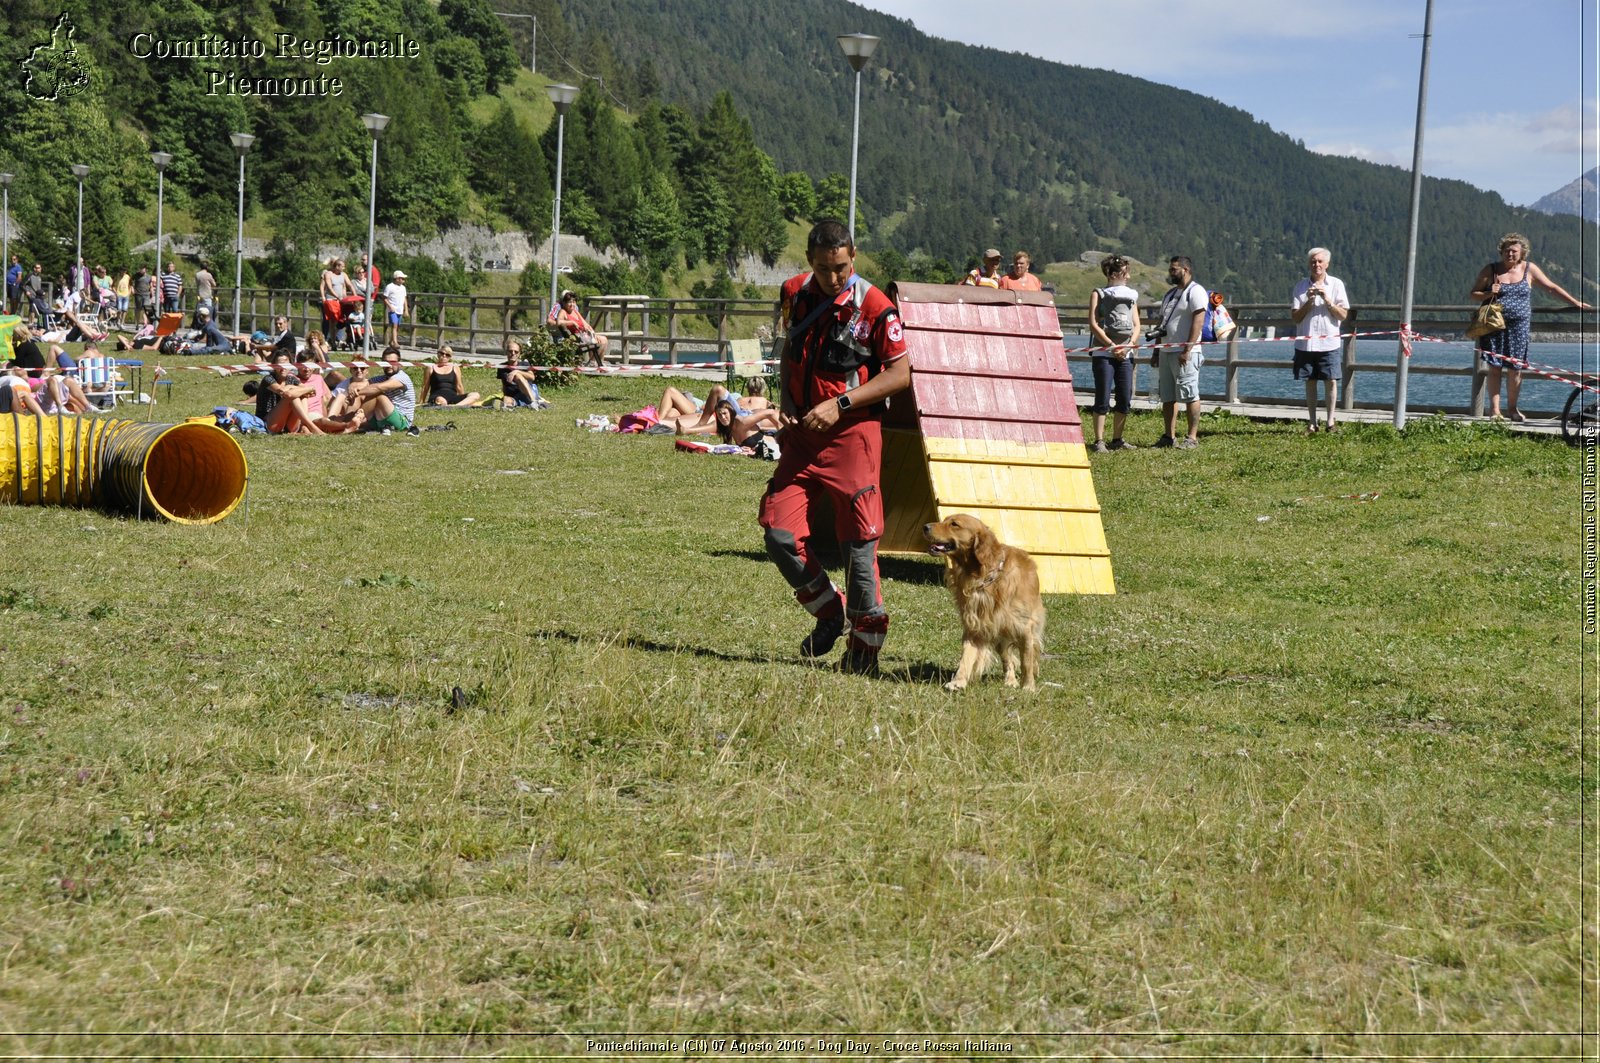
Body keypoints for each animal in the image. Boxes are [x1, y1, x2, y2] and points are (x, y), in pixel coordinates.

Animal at [928, 512, 1049, 694]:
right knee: (1007, 659)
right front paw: (958, 681)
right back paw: (1010, 680)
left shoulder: (1023, 627)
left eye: (954, 524)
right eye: (945, 520)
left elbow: (1026, 660)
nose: (925, 527)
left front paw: (1028, 686)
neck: (983, 576)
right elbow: (966, 656)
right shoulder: (975, 625)